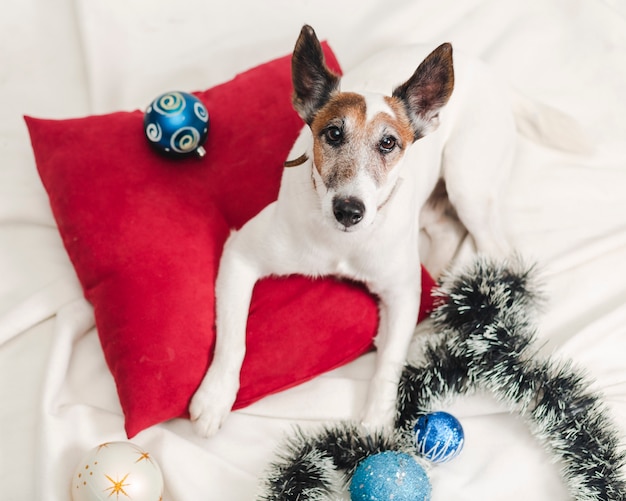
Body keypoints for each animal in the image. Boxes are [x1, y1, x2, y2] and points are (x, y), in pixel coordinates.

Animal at [189, 25, 580, 436]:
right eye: (333, 134)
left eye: (388, 143)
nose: (349, 210)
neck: (342, 243)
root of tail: (491, 73)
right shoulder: (241, 255)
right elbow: (233, 339)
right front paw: (215, 398)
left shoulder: (401, 293)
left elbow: (389, 362)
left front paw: (376, 422)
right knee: (445, 229)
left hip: (468, 184)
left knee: (495, 249)